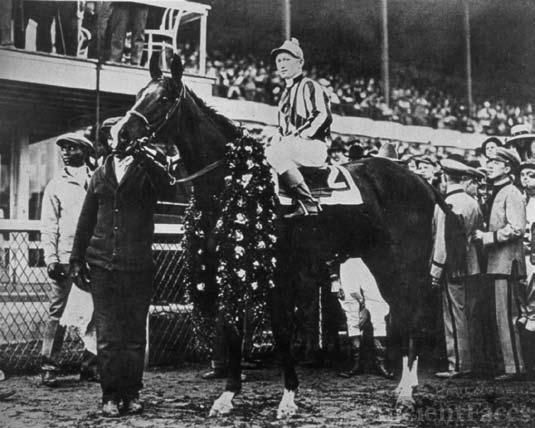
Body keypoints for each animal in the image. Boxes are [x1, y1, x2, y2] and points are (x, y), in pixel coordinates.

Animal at [119, 55, 446, 420]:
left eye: (163, 98)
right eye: (138, 94)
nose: (119, 134)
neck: (237, 178)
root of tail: (420, 180)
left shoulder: (276, 270)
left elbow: (282, 331)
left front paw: (288, 397)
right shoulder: (232, 266)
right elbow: (232, 327)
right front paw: (228, 395)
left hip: (402, 261)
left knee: (410, 312)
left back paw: (406, 391)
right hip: (378, 258)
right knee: (401, 312)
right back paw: (406, 385)